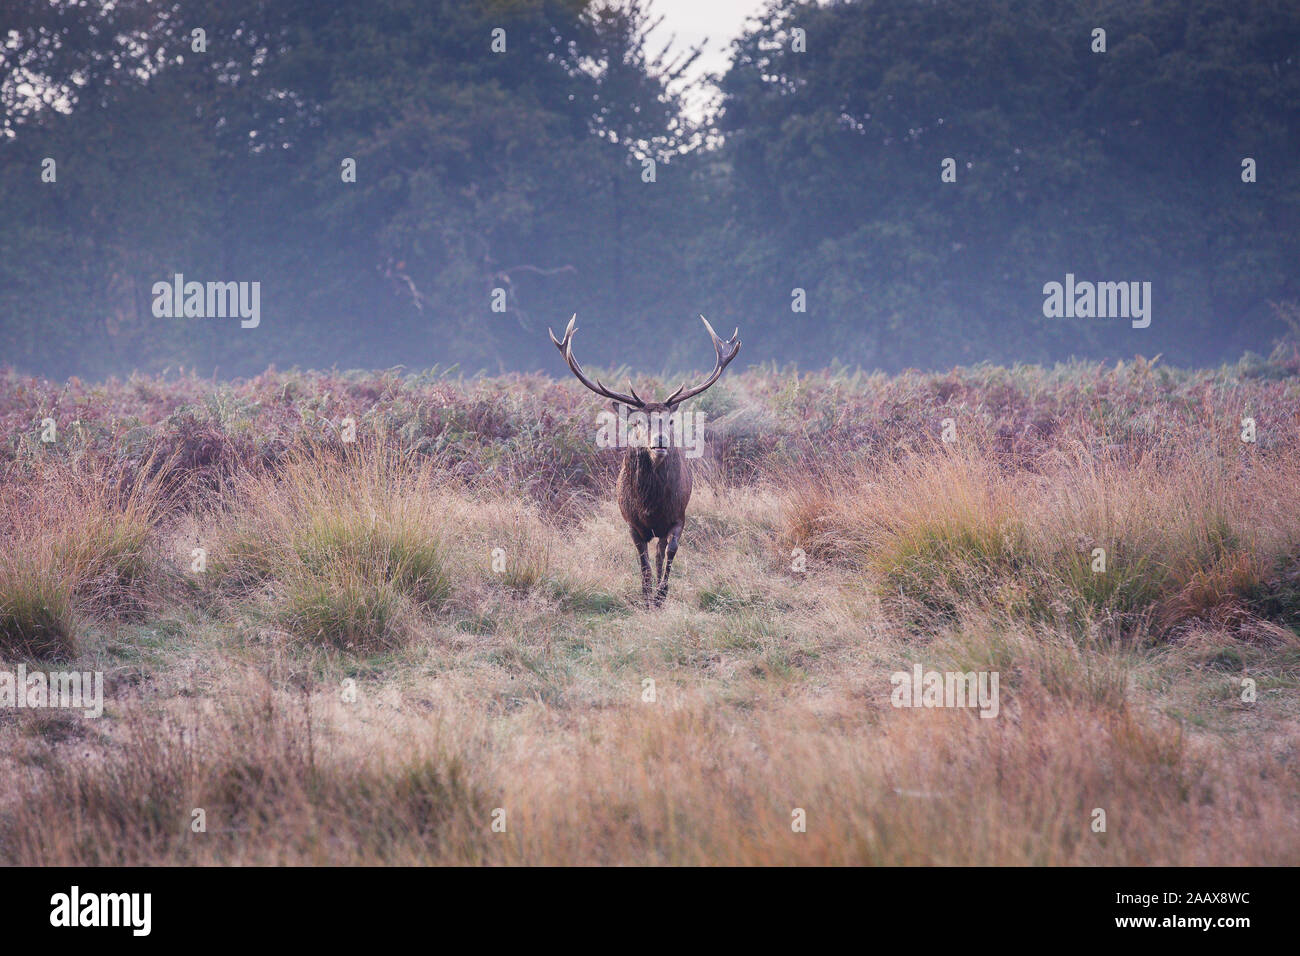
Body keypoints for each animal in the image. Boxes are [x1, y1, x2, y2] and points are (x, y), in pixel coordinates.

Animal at [551, 317, 748, 608]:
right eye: (637, 422)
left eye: (670, 420)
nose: (660, 441)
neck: (650, 506)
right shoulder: (632, 523)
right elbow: (642, 559)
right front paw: (645, 596)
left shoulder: (678, 516)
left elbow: (669, 553)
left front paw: (660, 595)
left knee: (660, 551)